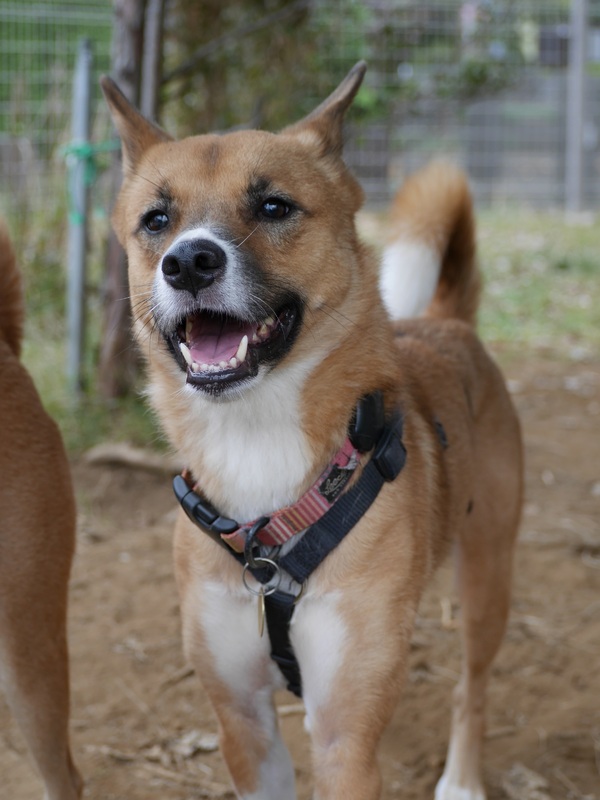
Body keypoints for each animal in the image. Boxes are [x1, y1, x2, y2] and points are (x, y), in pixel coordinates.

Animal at [102, 61, 523, 800]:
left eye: (274, 207)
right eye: (157, 219)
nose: (187, 262)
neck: (257, 441)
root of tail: (447, 322)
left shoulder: (344, 739)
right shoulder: (244, 724)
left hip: (487, 578)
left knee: (471, 684)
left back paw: (463, 778)